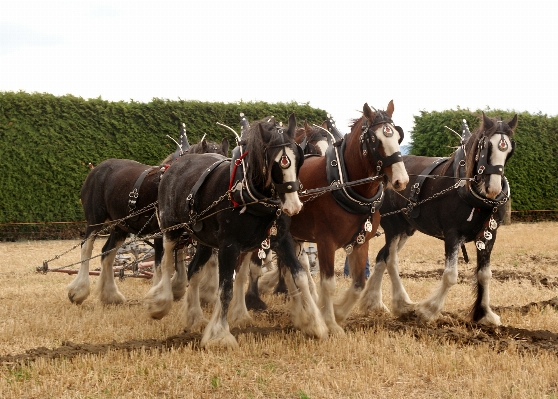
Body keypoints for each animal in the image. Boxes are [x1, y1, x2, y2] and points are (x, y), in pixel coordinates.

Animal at [68, 125, 230, 306]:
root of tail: (96, 169)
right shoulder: (161, 232)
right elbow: (161, 264)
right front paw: (159, 295)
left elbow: (186, 258)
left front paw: (188, 290)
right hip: (95, 220)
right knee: (87, 248)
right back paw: (78, 291)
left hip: (120, 226)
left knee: (107, 253)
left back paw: (110, 295)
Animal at [364, 112, 520, 324]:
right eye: (486, 145)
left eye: (510, 148)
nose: (493, 188)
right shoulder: (452, 234)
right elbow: (451, 275)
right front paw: (429, 310)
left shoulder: (489, 234)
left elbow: (485, 274)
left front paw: (485, 314)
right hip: (393, 227)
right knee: (390, 259)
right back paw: (401, 304)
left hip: (406, 228)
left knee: (382, 256)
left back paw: (374, 302)